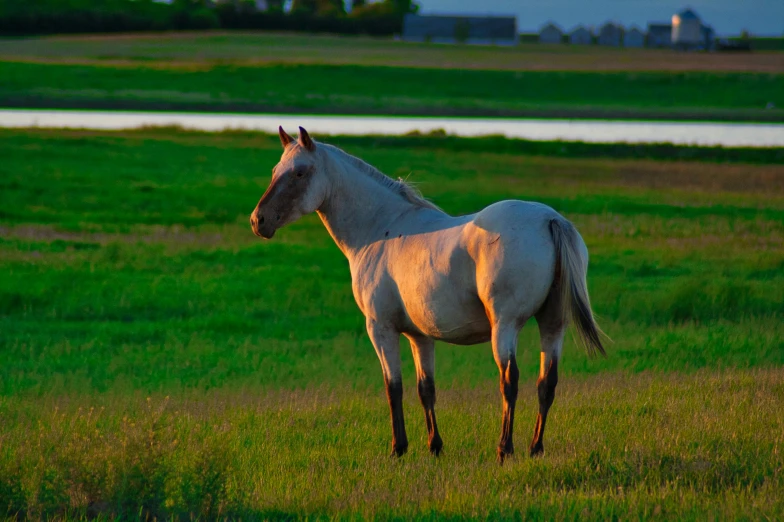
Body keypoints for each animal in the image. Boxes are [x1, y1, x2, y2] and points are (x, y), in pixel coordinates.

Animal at [251, 126, 608, 460]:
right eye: (275, 170)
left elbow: (393, 387)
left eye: (300, 172)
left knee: (510, 380)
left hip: (505, 326)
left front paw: (398, 447)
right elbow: (426, 388)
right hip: (553, 324)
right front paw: (434, 446)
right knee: (546, 383)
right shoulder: (419, 336)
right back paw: (535, 448)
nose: (259, 221)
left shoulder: (380, 329)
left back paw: (504, 449)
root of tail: (550, 219)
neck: (379, 229)